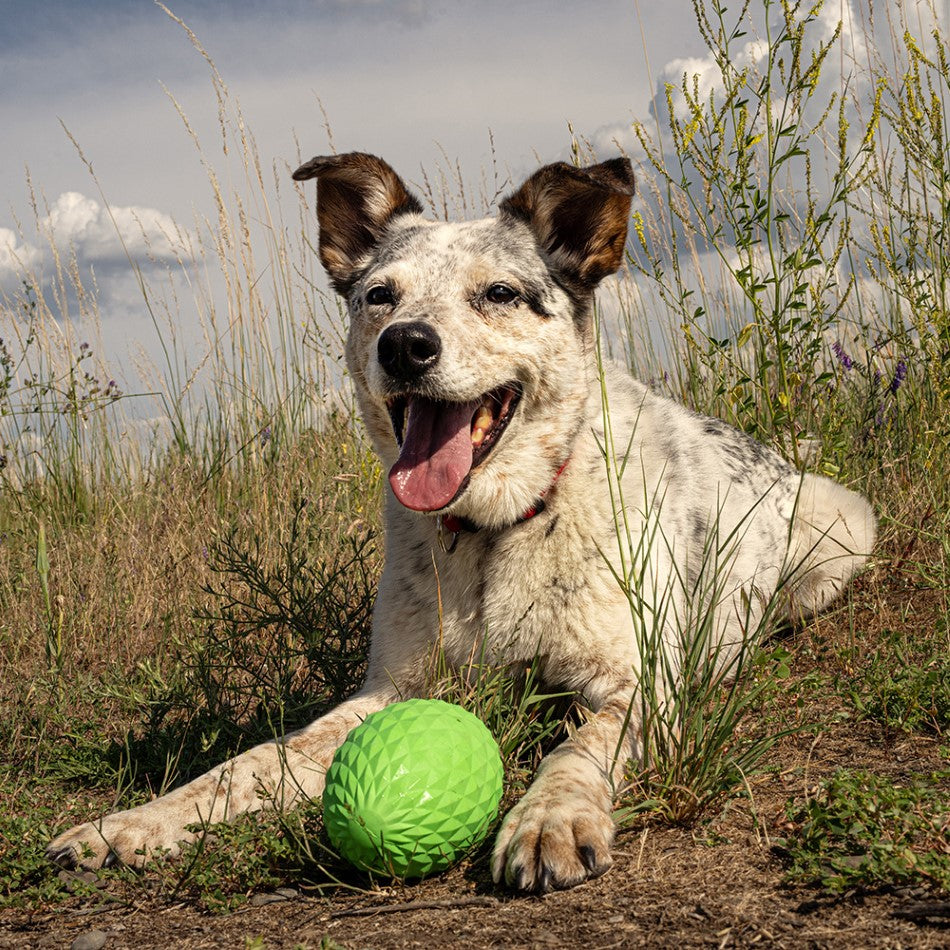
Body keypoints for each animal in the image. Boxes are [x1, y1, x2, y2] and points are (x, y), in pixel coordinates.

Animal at [46, 154, 876, 892]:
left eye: (500, 293)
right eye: (378, 295)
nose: (405, 345)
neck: (496, 529)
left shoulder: (636, 686)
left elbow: (579, 749)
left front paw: (548, 821)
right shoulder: (387, 691)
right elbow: (249, 762)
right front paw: (130, 823)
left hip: (843, 529)